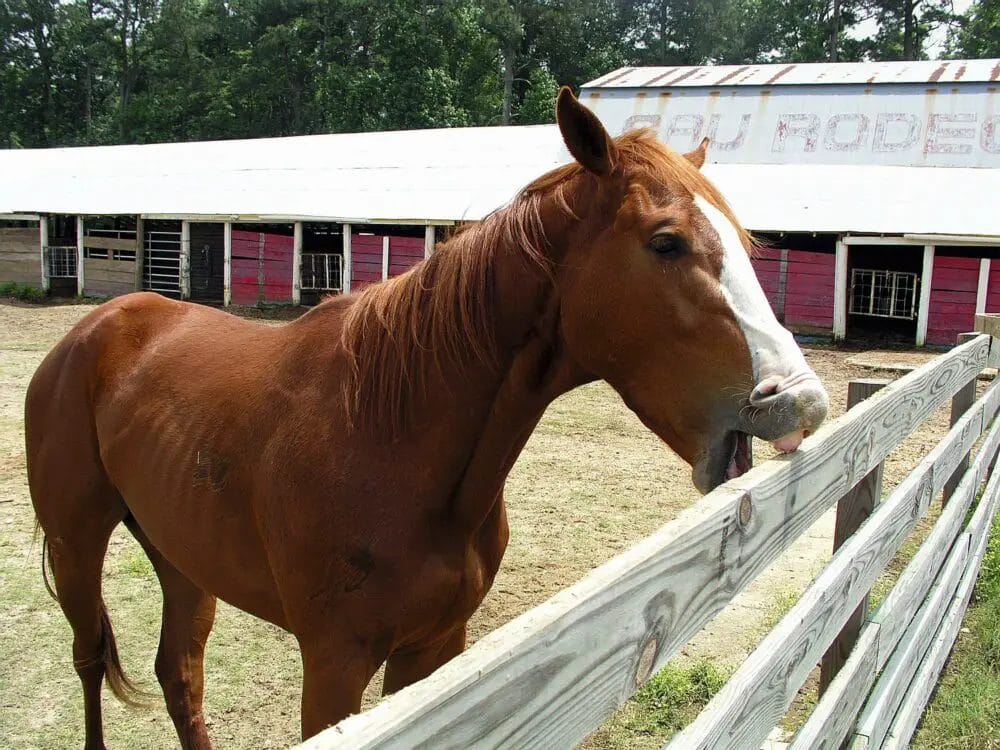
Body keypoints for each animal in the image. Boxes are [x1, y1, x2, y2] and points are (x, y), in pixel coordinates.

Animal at [25, 87, 828, 749]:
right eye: (667, 241)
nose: (800, 400)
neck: (391, 436)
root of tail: (92, 331)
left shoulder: (435, 648)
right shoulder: (335, 666)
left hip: (182, 559)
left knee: (180, 677)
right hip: (77, 546)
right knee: (90, 660)